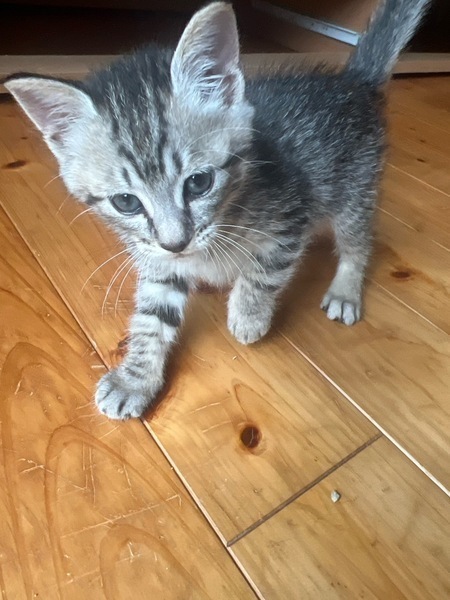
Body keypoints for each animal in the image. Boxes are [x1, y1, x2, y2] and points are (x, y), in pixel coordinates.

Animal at [4, 0, 430, 419]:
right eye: (126, 202)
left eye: (199, 183)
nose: (176, 243)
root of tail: (353, 82)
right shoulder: (157, 259)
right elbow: (152, 316)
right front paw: (135, 379)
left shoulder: (290, 215)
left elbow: (263, 271)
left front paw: (248, 315)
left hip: (355, 187)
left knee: (358, 239)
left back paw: (345, 289)